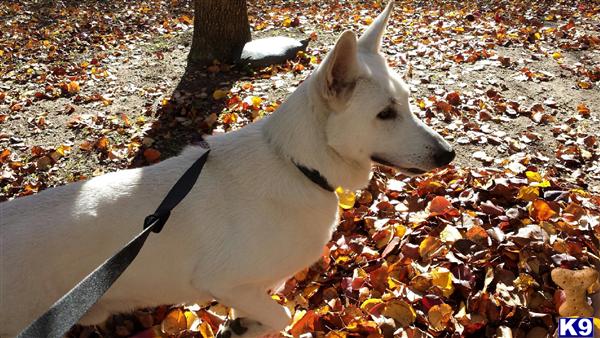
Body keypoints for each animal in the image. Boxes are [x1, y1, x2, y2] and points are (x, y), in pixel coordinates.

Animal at [0, 1, 454, 336]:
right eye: (385, 114)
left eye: (407, 102)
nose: (448, 155)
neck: (295, 164)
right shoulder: (221, 281)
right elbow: (281, 316)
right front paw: (251, 327)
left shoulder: (250, 288)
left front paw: (244, 326)